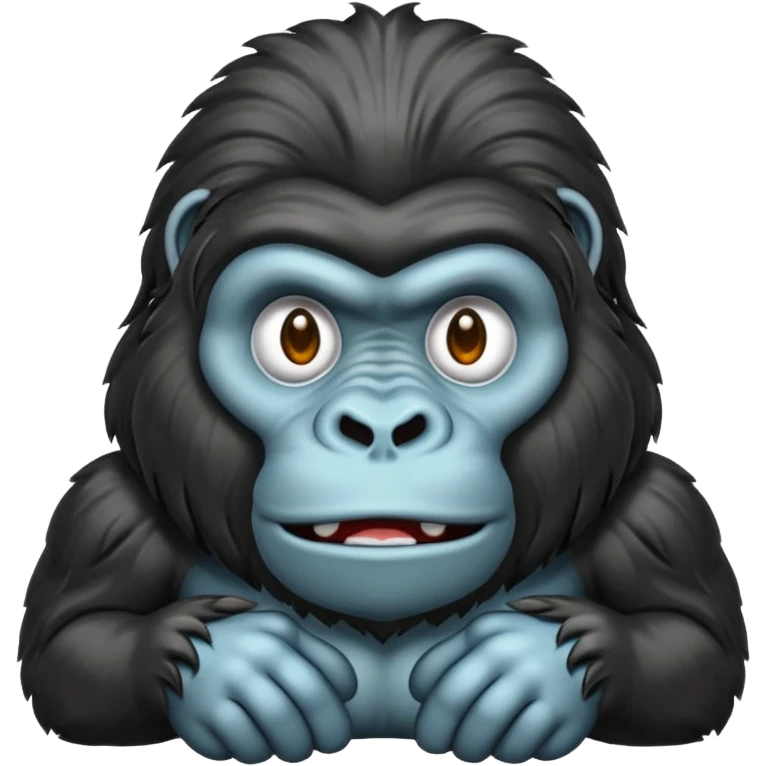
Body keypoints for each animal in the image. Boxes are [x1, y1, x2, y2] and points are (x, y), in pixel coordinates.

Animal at [18, 5, 749, 765]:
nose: (382, 426)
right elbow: (66, 658)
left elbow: (700, 657)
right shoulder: (107, 507)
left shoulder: (659, 509)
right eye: (298, 337)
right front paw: (234, 669)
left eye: (468, 337)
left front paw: (531, 669)